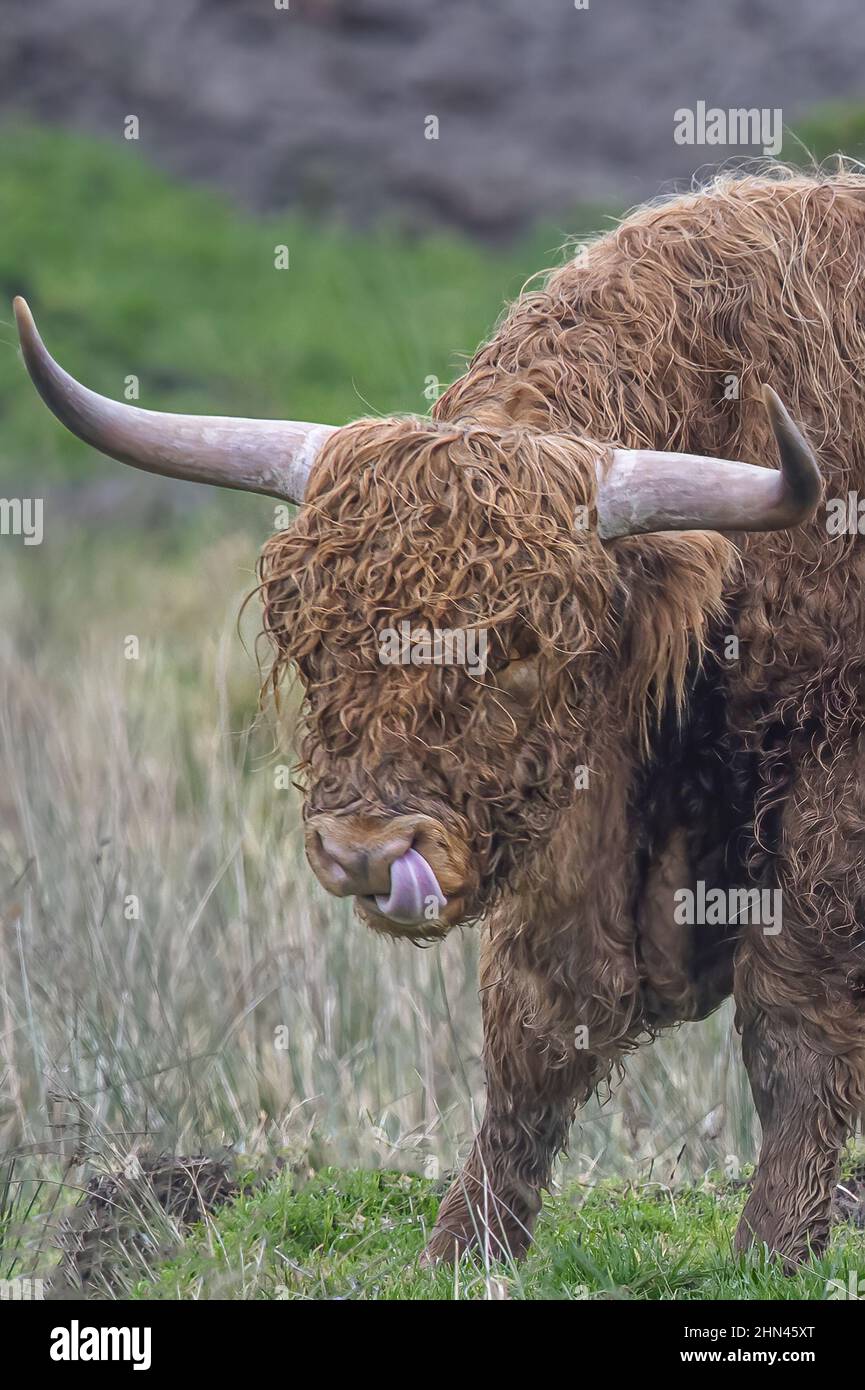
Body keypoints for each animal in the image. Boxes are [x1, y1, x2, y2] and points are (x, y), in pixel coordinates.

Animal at [16, 168, 865, 1273]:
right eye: (309, 638)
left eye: (522, 649)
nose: (368, 852)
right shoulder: (587, 813)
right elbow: (539, 1022)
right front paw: (466, 1245)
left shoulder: (828, 806)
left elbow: (796, 1025)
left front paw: (769, 1249)